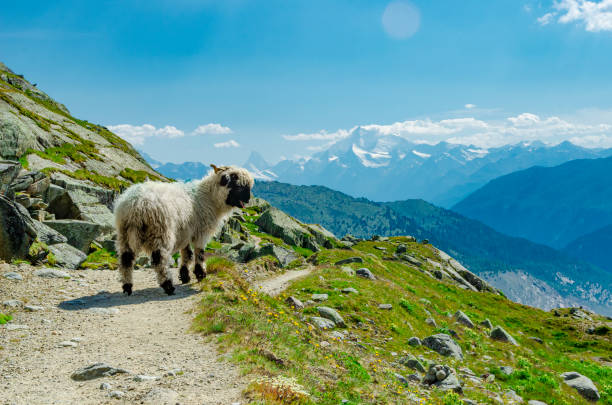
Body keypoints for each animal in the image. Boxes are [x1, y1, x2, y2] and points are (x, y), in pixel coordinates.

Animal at [113, 163, 253, 294]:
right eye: (238, 185)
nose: (248, 199)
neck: (209, 197)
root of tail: (136, 205)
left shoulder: (185, 232)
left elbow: (187, 254)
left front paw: (185, 276)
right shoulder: (200, 232)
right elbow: (199, 253)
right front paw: (201, 274)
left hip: (124, 233)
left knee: (126, 259)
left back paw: (127, 287)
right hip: (161, 231)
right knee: (160, 260)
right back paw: (168, 285)